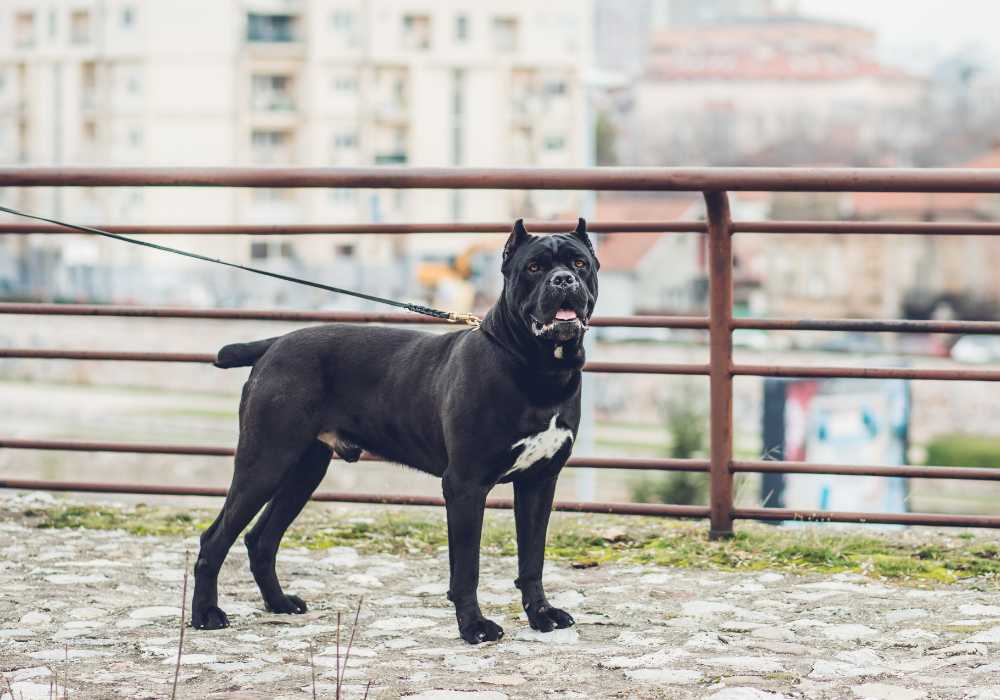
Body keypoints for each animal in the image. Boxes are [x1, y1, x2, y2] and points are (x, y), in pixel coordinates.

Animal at [193, 216, 600, 644]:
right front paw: (473, 625)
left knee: (261, 539)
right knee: (215, 538)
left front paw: (541, 614)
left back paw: (280, 603)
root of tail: (274, 344)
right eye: (534, 267)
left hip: (304, 469)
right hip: (265, 461)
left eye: (580, 263)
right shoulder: (465, 485)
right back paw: (206, 613)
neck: (538, 367)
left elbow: (532, 560)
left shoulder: (539, 482)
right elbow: (466, 568)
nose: (563, 281)